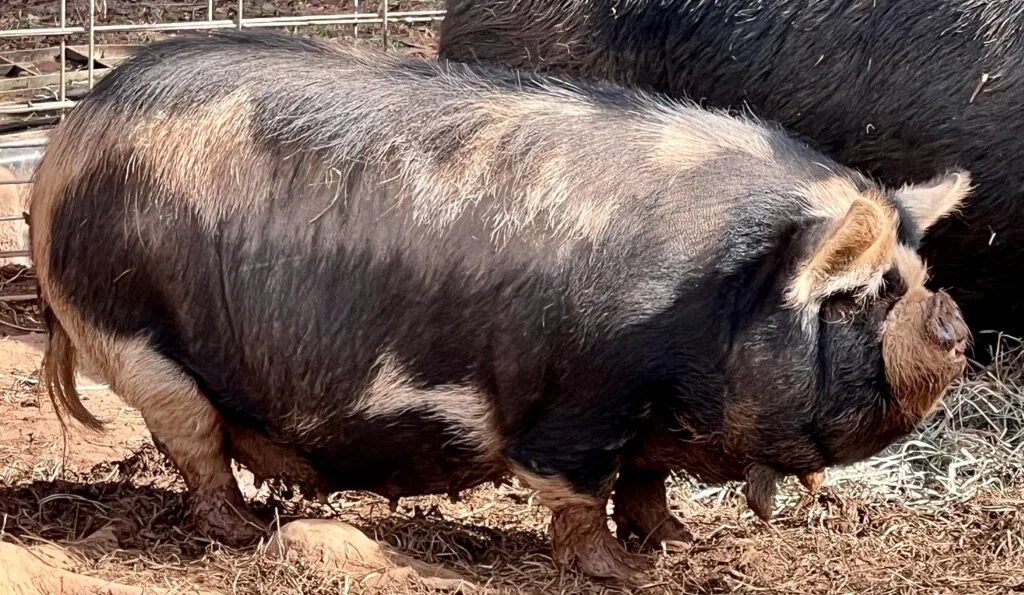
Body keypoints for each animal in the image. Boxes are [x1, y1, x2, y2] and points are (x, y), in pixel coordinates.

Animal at [29, 30, 969, 580]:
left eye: (917, 273)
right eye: (861, 293)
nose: (953, 319)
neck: (708, 297)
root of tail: (68, 141)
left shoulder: (648, 419)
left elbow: (647, 481)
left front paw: (677, 543)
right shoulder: (581, 400)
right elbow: (582, 491)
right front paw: (621, 572)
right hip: (135, 337)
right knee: (194, 444)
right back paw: (245, 526)